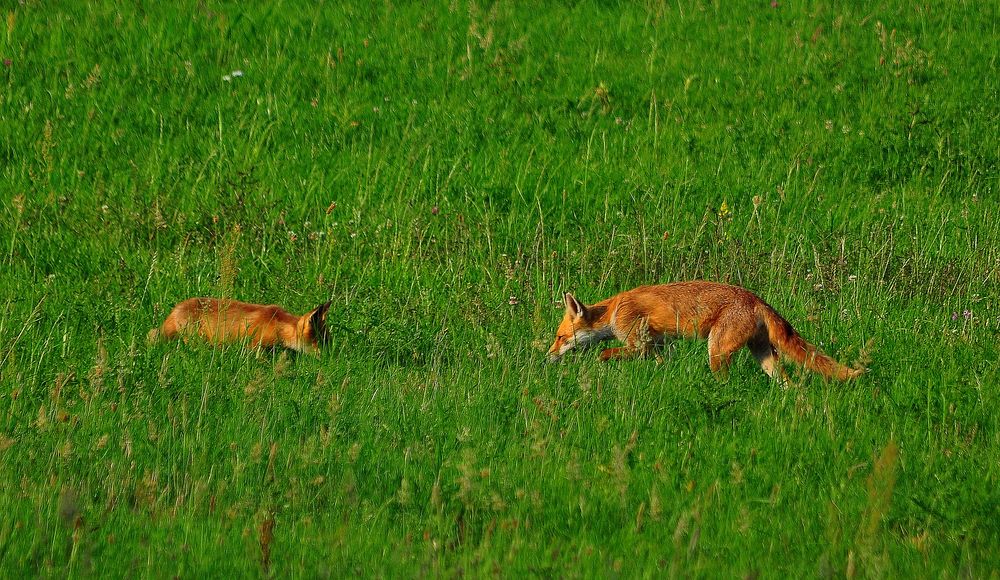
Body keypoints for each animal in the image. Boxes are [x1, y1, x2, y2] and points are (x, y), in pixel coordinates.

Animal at [552, 284, 864, 382]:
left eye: (559, 337)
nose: (548, 356)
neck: (615, 310)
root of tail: (756, 299)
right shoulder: (656, 346)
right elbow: (660, 363)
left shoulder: (636, 343)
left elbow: (605, 353)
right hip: (763, 356)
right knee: (787, 381)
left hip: (716, 352)